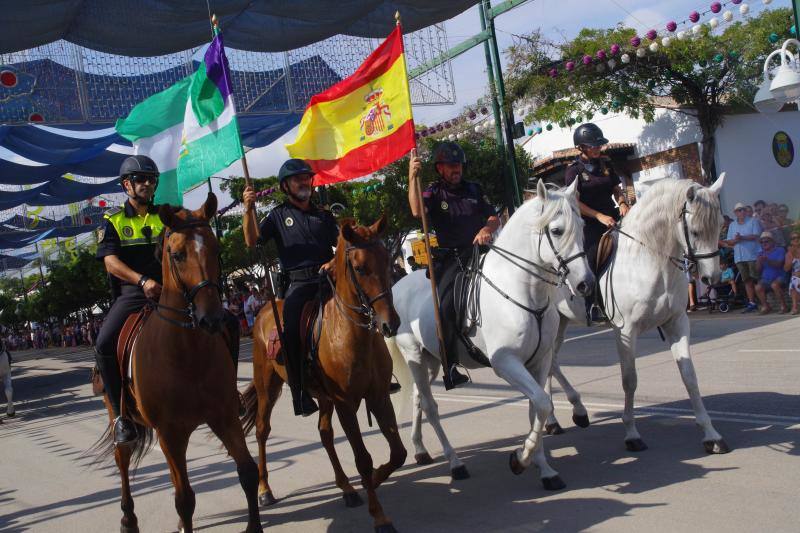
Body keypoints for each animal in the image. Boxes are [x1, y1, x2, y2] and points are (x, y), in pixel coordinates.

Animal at [97, 194, 262, 532]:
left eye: (216, 249)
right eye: (176, 254)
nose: (211, 318)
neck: (187, 355)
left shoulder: (224, 416)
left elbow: (248, 473)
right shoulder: (170, 433)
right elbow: (184, 497)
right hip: (119, 414)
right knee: (123, 460)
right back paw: (128, 519)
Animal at [241, 216, 406, 532]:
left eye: (387, 259)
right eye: (360, 267)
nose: (390, 323)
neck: (350, 332)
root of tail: (266, 308)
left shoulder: (379, 397)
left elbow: (398, 453)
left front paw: (377, 478)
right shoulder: (346, 405)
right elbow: (362, 458)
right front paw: (379, 516)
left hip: (323, 398)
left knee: (325, 433)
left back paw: (347, 488)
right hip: (269, 387)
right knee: (262, 430)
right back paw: (264, 490)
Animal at [388, 181, 592, 488]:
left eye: (582, 225)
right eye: (556, 231)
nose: (585, 284)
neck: (524, 293)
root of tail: (396, 287)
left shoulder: (539, 362)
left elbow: (537, 407)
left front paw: (544, 469)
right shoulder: (505, 363)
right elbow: (542, 404)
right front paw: (521, 458)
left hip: (430, 361)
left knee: (417, 398)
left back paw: (420, 448)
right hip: (414, 356)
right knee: (431, 407)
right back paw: (455, 463)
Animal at [552, 175, 732, 454]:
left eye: (721, 225)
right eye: (695, 231)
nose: (711, 277)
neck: (648, 259)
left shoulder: (676, 322)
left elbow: (689, 376)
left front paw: (711, 435)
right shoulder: (625, 331)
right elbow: (630, 380)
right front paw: (632, 434)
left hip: (558, 323)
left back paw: (562, 418)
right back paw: (569, 413)